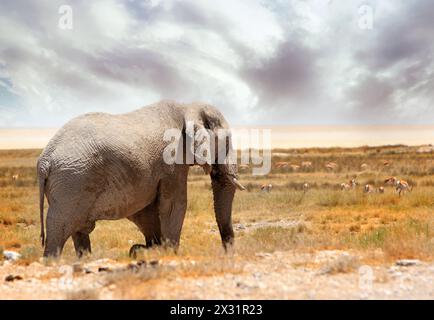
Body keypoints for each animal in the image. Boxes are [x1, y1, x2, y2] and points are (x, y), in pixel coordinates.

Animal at [36, 100, 244, 258]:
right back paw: (53, 262)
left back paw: (86, 259)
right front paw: (169, 252)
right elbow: (174, 205)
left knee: (77, 231)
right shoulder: (172, 162)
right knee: (59, 229)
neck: (187, 107)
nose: (227, 252)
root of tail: (44, 160)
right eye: (227, 141)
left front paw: (150, 248)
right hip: (72, 183)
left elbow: (147, 210)